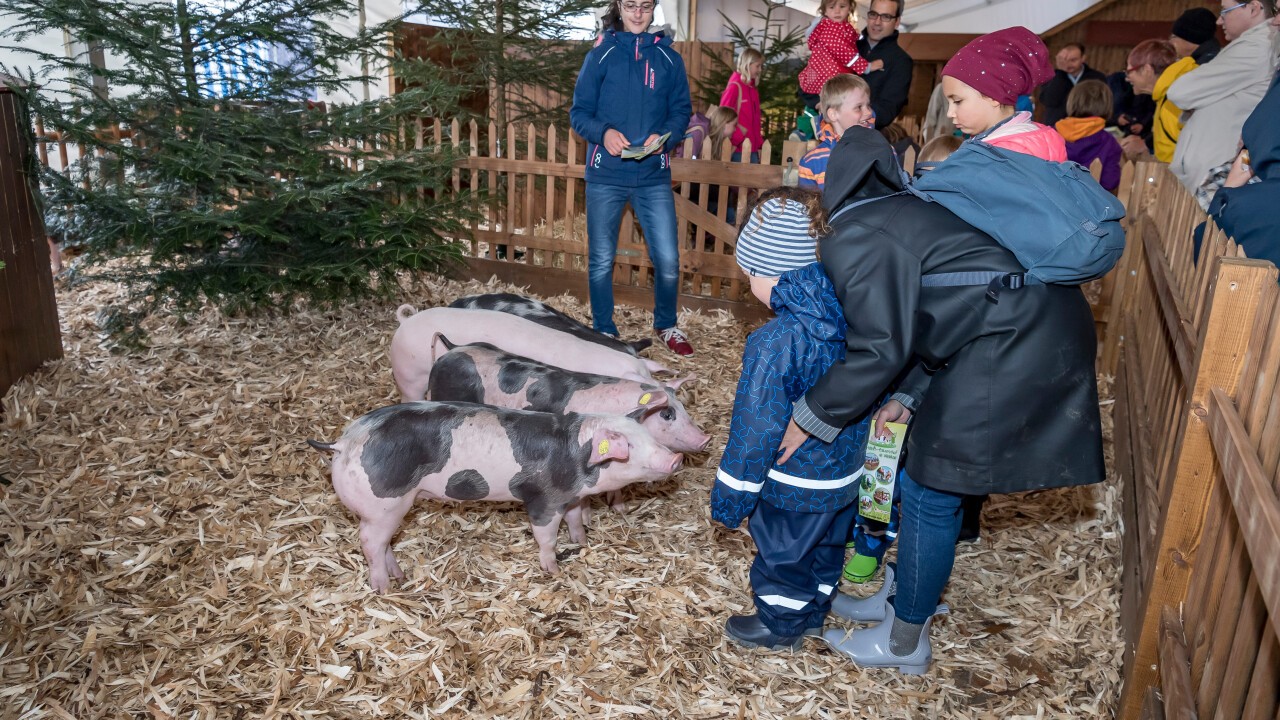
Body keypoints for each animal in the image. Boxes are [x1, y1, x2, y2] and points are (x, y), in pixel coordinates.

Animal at [309, 399, 686, 591]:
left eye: (649, 437)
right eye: (629, 447)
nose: (676, 458)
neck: (576, 454)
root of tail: (344, 442)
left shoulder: (570, 496)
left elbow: (576, 520)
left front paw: (582, 543)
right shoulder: (544, 500)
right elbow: (546, 536)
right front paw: (553, 570)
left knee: (383, 543)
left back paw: (399, 576)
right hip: (384, 504)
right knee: (369, 542)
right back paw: (384, 588)